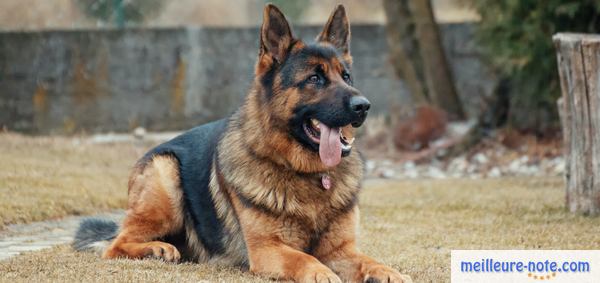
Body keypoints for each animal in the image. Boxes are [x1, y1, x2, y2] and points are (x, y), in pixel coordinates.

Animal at [74, 4, 412, 283]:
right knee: (115, 245)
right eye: (315, 79)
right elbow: (303, 259)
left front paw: (388, 271)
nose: (363, 106)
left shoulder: (342, 250)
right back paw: (157, 248)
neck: (309, 175)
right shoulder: (267, 250)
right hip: (165, 174)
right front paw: (321, 273)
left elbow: (370, 261)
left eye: (346, 76)